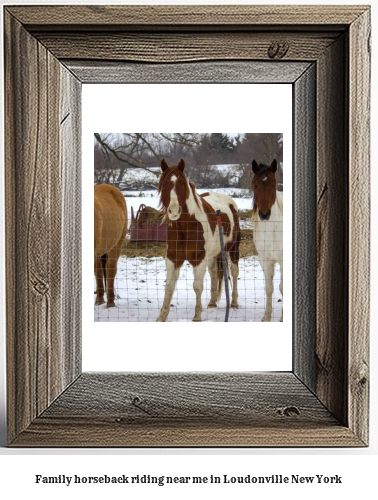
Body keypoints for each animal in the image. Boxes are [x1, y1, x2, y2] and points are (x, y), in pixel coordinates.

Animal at [157, 160, 241, 324]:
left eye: (182, 183)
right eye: (163, 184)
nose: (174, 211)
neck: (186, 227)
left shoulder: (199, 259)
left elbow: (197, 286)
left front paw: (197, 316)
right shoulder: (172, 258)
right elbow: (169, 286)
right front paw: (161, 316)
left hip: (233, 249)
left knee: (234, 272)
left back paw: (234, 302)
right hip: (213, 255)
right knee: (214, 272)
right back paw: (212, 302)